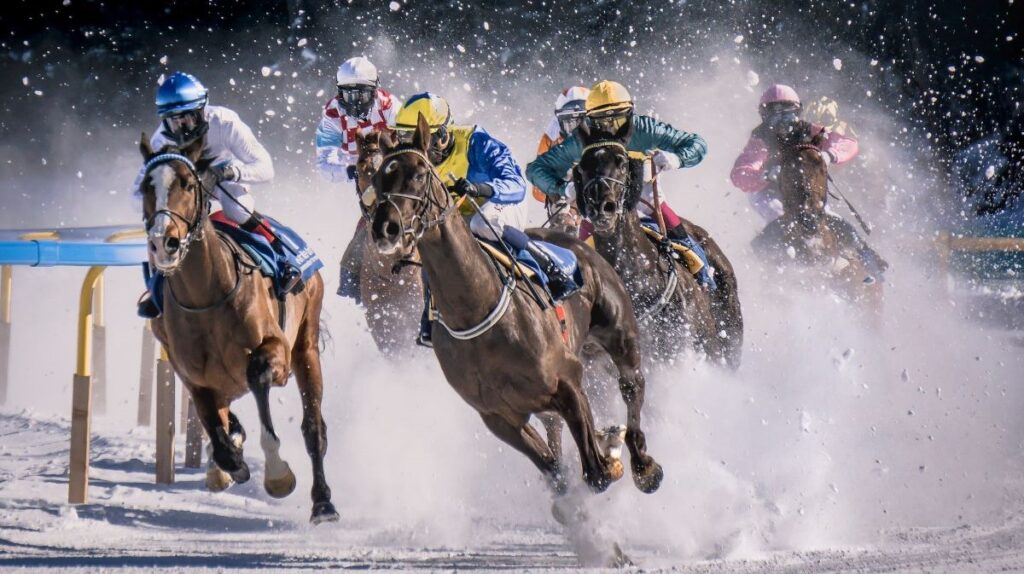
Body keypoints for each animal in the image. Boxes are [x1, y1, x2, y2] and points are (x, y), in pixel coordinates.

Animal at [137, 134, 338, 524]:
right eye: (144, 187)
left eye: (187, 183)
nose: (162, 242)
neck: (207, 297)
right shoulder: (195, 377)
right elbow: (217, 432)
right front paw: (228, 462)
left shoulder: (276, 351)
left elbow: (258, 376)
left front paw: (277, 474)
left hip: (306, 345)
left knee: (313, 428)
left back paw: (323, 503)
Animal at [369, 114, 664, 498]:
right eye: (377, 179)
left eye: (419, 173)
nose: (384, 228)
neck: (478, 310)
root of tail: (580, 241)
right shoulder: (498, 417)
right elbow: (555, 472)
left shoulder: (567, 381)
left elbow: (597, 472)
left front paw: (610, 452)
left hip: (619, 333)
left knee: (632, 385)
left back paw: (643, 464)